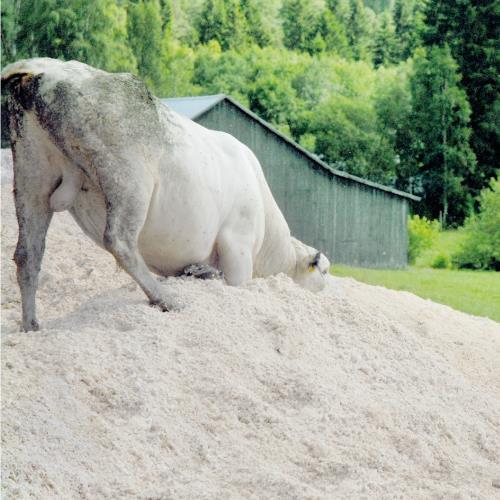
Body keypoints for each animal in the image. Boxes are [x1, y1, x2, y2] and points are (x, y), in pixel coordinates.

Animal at [1, 58, 330, 332]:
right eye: (325, 272)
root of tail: (45, 69)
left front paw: (200, 272)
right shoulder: (239, 242)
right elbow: (235, 282)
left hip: (32, 172)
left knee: (28, 253)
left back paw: (31, 325)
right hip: (130, 177)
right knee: (119, 240)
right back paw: (166, 299)